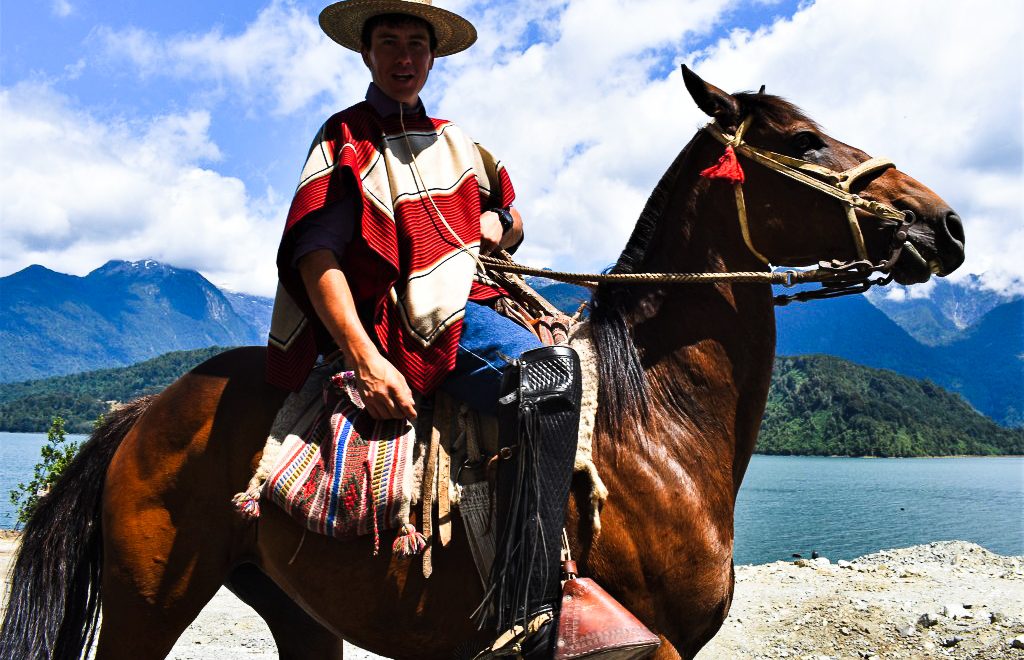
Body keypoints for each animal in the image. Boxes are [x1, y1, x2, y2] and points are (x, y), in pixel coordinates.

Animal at [2, 68, 958, 658]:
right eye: (801, 140)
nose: (942, 222)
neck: (656, 426)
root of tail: (144, 412)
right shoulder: (660, 641)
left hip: (295, 607)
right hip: (146, 603)